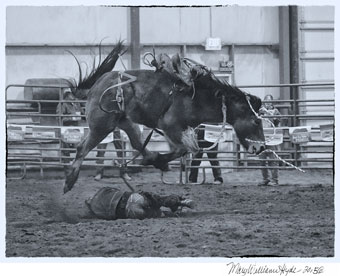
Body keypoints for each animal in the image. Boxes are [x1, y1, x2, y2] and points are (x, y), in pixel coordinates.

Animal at [63, 41, 266, 194]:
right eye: (257, 121)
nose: (262, 147)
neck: (199, 96)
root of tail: (97, 84)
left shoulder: (178, 130)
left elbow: (185, 149)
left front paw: (159, 161)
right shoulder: (170, 126)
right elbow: (185, 149)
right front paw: (162, 161)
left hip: (126, 122)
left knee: (137, 143)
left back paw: (150, 158)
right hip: (102, 125)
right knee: (82, 148)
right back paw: (69, 181)